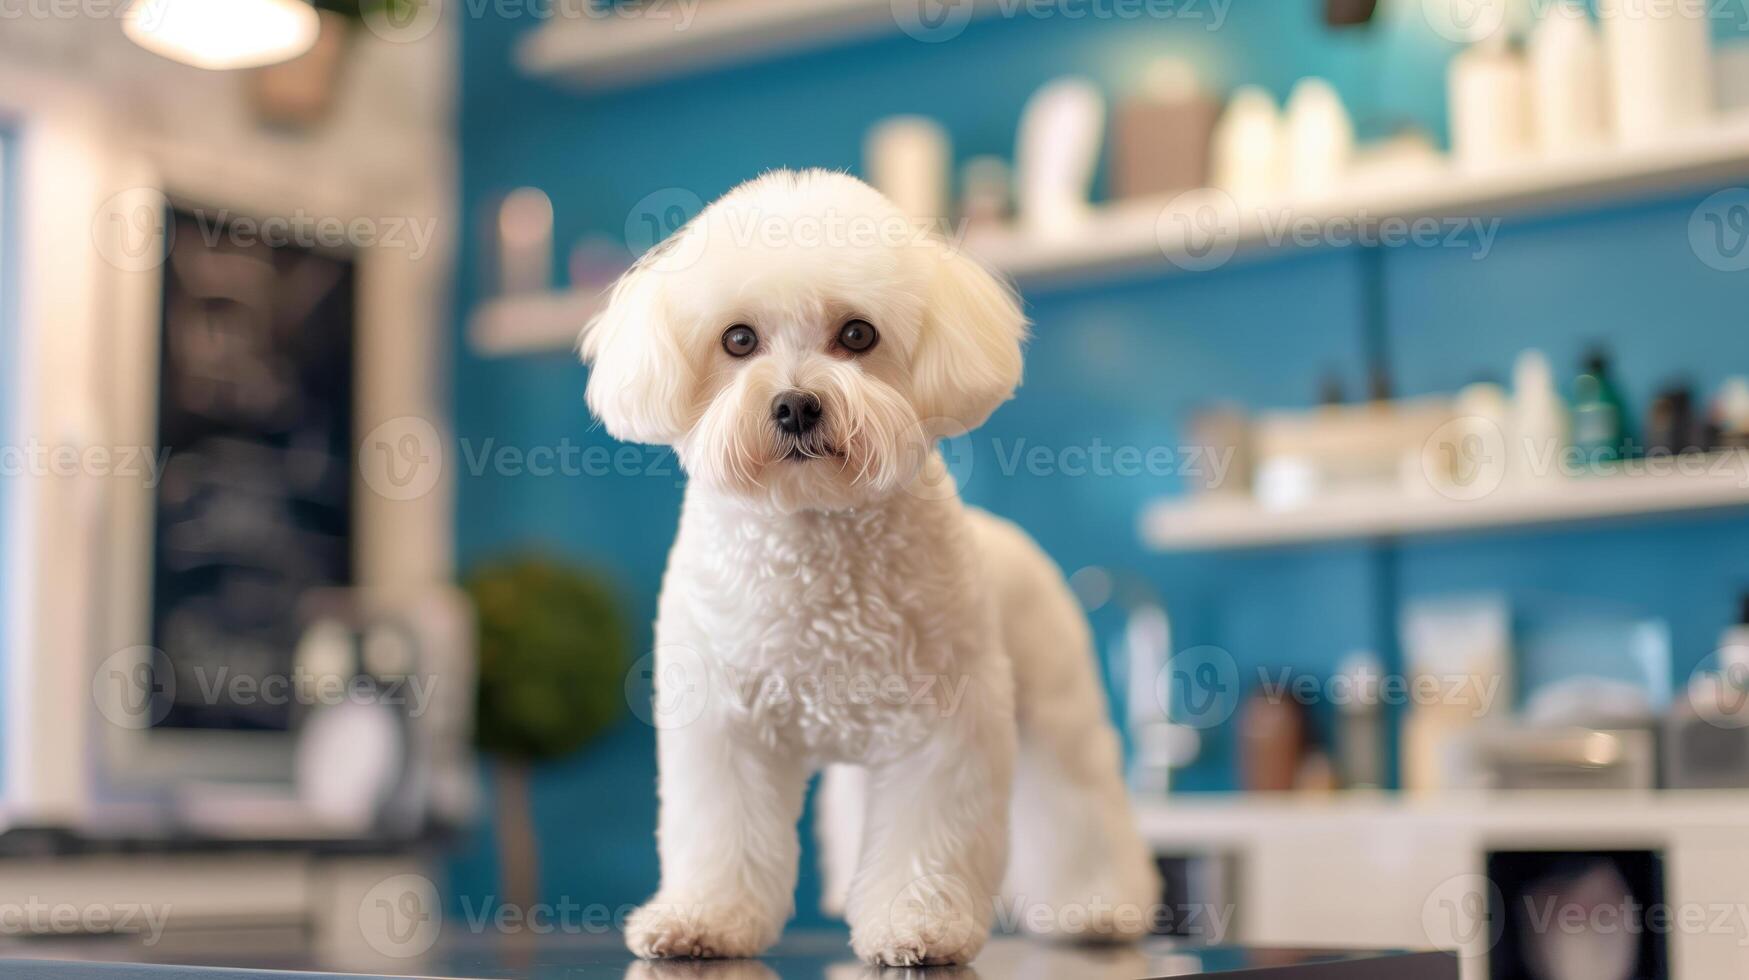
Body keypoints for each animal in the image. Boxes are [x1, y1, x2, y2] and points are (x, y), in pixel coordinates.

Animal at [584, 168, 1161, 966]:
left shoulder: (945, 730)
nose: (796, 405)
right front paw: (704, 919)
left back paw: (1098, 907)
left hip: (1056, 713)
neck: (817, 542)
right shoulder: (725, 730)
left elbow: (928, 838)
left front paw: (918, 925)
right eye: (738, 339)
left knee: (1079, 806)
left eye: (857, 334)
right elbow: (719, 838)